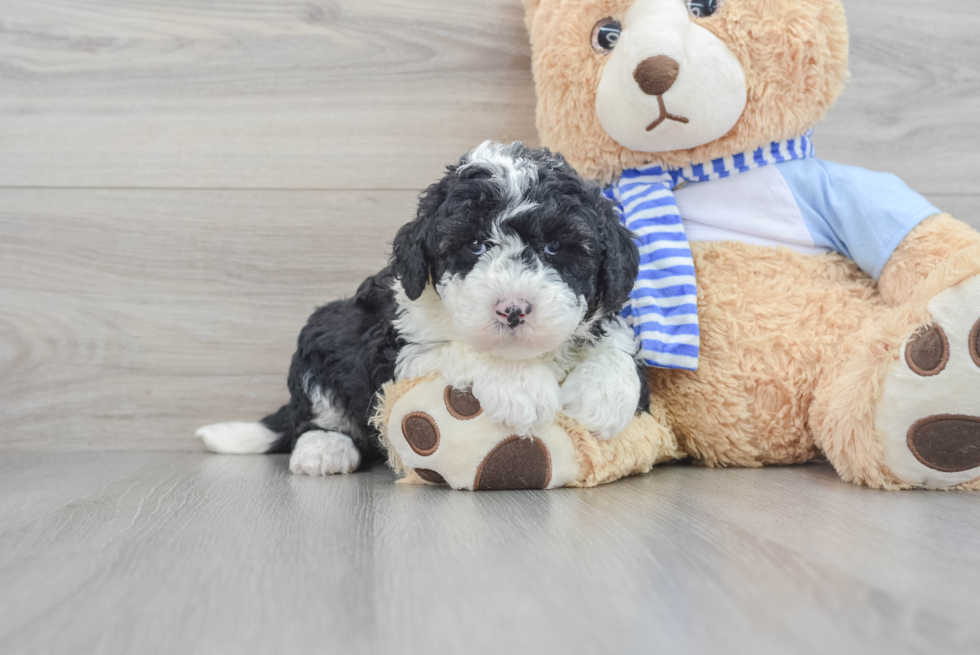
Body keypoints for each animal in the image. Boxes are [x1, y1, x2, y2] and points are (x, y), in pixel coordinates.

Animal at [195, 141, 648, 474]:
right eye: (475, 245)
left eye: (555, 247)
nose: (513, 309)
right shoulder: (398, 350)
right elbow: (459, 349)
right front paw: (521, 387)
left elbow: (615, 345)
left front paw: (603, 396)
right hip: (324, 333)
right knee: (317, 407)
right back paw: (325, 448)